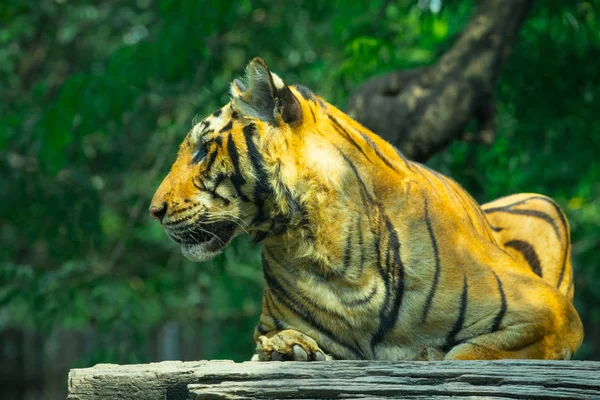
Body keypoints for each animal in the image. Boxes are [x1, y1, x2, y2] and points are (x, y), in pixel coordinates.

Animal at [149, 57, 580, 360]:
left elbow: (467, 354)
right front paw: (288, 348)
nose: (154, 211)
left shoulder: (549, 312)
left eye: (202, 149)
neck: (328, 250)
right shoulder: (269, 323)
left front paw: (428, 355)